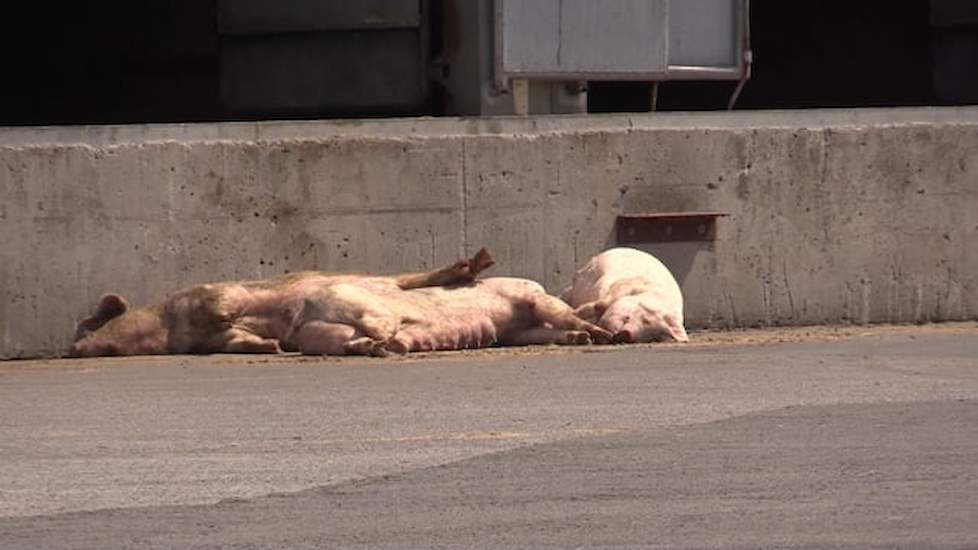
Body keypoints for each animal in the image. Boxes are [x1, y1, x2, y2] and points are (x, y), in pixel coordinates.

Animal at [68, 249, 496, 358]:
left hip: (366, 281)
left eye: (91, 323)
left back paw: (475, 263)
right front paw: (272, 345)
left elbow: (225, 301)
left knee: (408, 278)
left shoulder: (210, 293)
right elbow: (236, 341)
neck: (169, 331)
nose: (72, 348)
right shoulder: (211, 342)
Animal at [286, 276, 612, 358]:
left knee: (352, 342)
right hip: (369, 308)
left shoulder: (516, 332)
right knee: (380, 328)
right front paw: (600, 335)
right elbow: (563, 315)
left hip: (324, 336)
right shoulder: (529, 298)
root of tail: (307, 312)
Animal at [560, 249, 692, 344]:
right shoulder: (618, 287)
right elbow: (599, 305)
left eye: (651, 336)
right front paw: (576, 314)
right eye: (645, 319)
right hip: (576, 283)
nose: (627, 334)